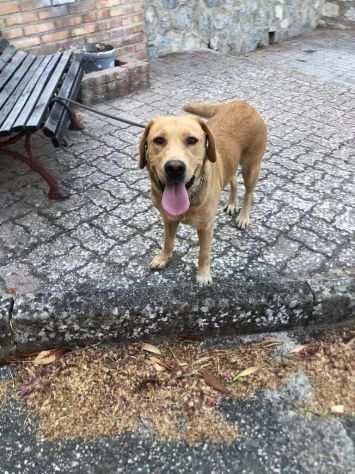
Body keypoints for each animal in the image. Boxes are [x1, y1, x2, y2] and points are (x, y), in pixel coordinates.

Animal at [139, 100, 268, 286]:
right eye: (159, 140)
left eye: (192, 140)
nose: (175, 167)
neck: (190, 197)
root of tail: (241, 102)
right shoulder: (169, 220)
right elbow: (168, 242)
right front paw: (164, 258)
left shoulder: (206, 227)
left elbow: (204, 253)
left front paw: (203, 275)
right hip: (230, 165)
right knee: (234, 181)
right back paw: (231, 204)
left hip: (251, 167)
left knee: (249, 193)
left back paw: (243, 216)